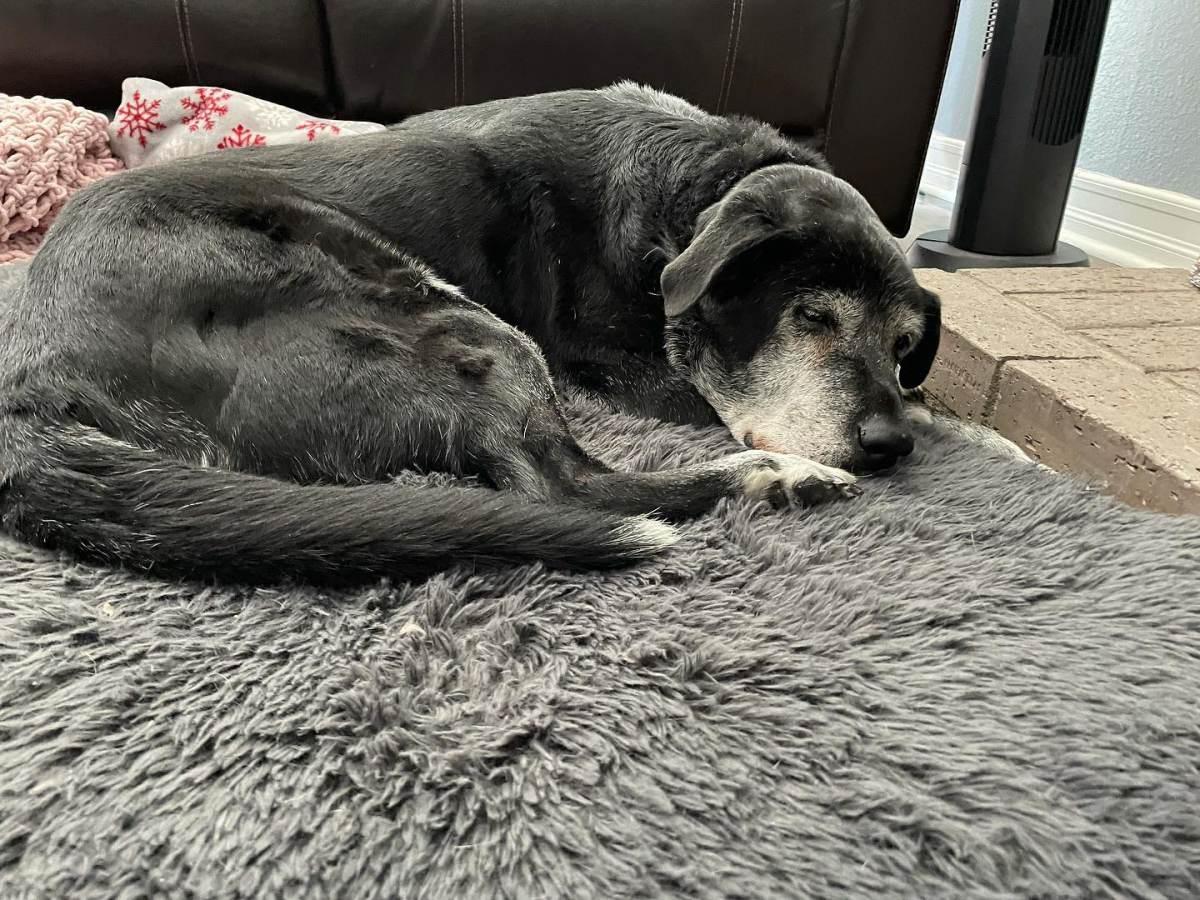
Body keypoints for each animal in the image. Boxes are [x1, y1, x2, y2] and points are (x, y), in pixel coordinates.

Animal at [0, 82, 936, 578]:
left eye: (902, 347)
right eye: (812, 317)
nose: (890, 444)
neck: (685, 199)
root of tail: (32, 386)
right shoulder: (615, 364)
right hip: (447, 311)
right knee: (561, 486)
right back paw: (775, 478)